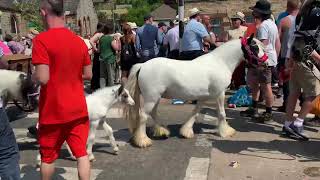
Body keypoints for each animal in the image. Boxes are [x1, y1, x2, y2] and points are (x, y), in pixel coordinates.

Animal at [123, 35, 268, 148]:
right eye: (255, 47)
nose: (266, 64)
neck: (220, 62)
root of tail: (142, 65)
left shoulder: (203, 97)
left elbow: (195, 112)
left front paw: (186, 131)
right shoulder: (219, 94)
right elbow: (221, 113)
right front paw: (226, 131)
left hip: (155, 98)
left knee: (153, 113)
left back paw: (163, 131)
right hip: (151, 98)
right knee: (143, 116)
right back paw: (143, 141)